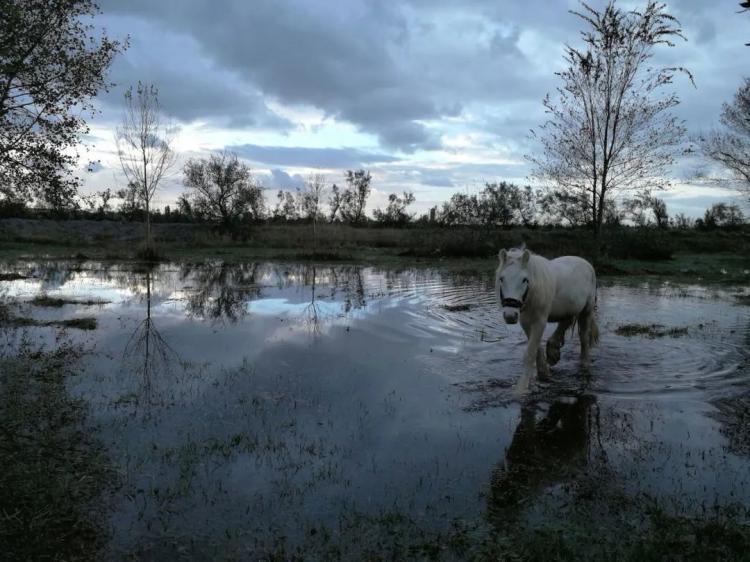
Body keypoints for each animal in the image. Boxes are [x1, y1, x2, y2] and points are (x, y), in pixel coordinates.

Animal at [496, 245, 604, 390]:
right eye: (502, 279)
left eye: (524, 280)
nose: (510, 315)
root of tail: (586, 263)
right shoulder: (526, 322)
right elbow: (536, 350)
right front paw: (543, 373)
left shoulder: (540, 321)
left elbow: (530, 353)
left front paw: (521, 388)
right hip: (570, 307)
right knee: (567, 320)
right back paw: (553, 351)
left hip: (586, 311)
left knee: (584, 339)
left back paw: (584, 364)